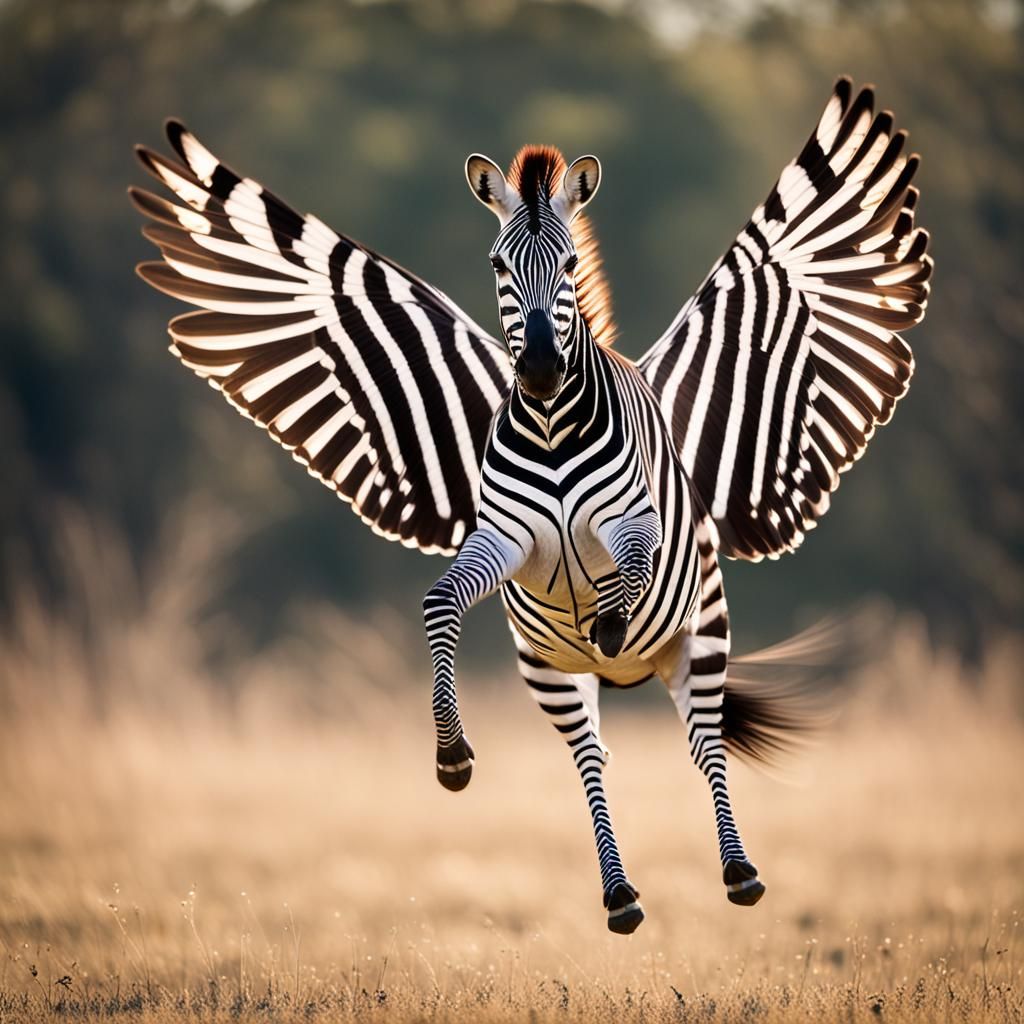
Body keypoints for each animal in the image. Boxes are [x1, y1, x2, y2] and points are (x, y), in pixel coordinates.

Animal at [131, 77, 932, 934]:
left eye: (571, 261)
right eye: (496, 263)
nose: (542, 369)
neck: (551, 424)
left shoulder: (634, 524)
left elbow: (629, 571)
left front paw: (609, 619)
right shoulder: (505, 539)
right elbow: (439, 602)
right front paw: (451, 754)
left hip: (702, 635)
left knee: (705, 743)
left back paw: (738, 867)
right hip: (550, 672)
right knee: (591, 757)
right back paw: (619, 893)